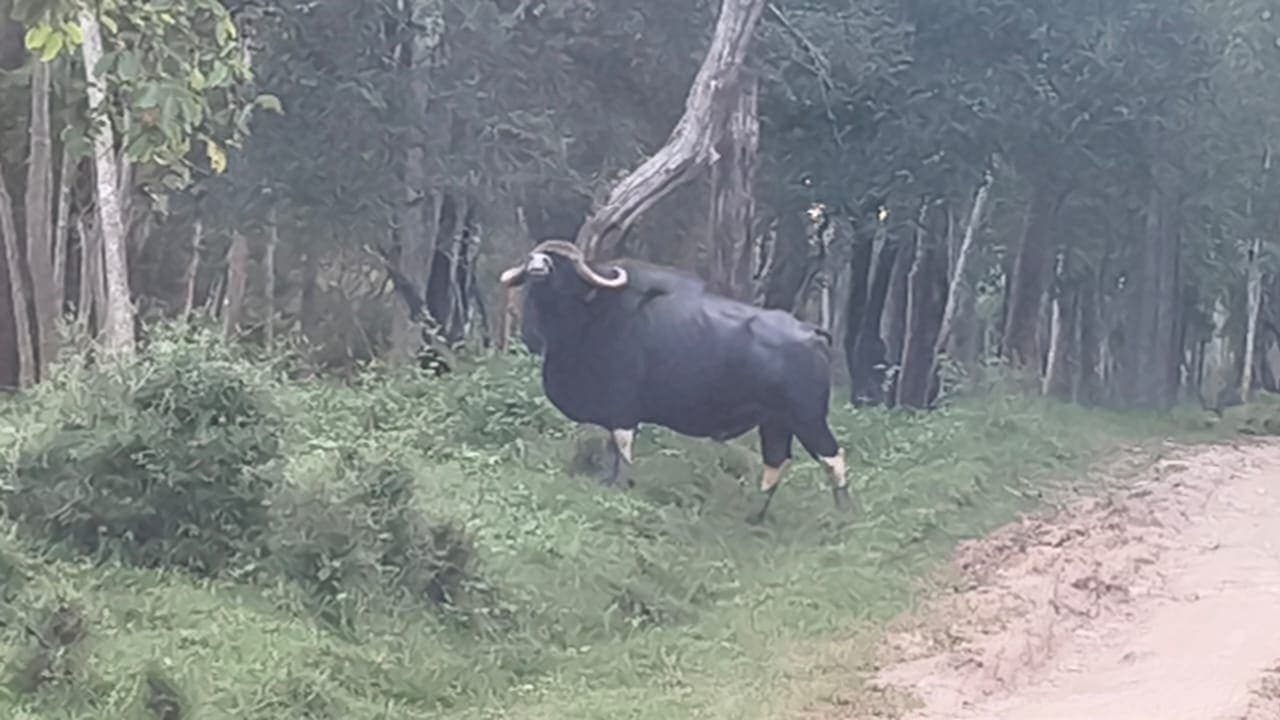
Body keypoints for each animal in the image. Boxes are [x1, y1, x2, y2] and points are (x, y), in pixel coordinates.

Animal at [499, 239, 850, 524]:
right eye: (534, 257)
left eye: (560, 262)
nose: (536, 265)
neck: (592, 314)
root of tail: (812, 333)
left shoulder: (622, 407)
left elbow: (622, 450)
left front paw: (619, 486)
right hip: (775, 423)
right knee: (776, 463)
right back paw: (754, 516)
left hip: (807, 418)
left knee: (832, 458)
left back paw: (843, 517)